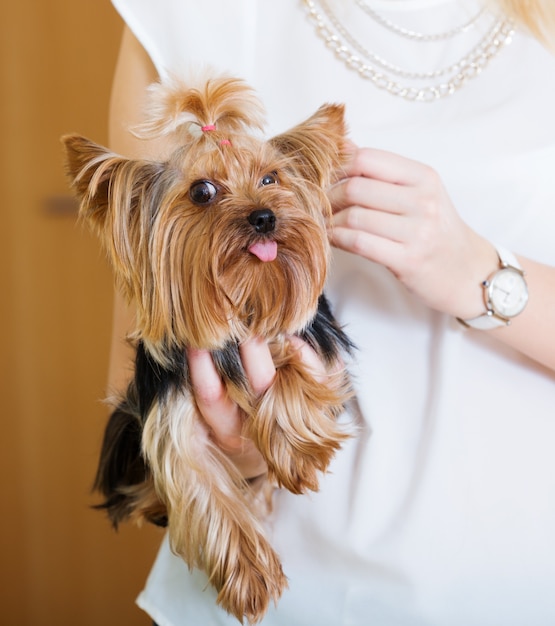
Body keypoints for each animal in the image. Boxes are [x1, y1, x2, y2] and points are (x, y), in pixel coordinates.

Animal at [63, 75, 354, 620]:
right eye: (202, 192)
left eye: (271, 178)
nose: (264, 217)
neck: (241, 309)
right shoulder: (170, 417)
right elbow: (199, 484)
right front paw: (250, 577)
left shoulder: (318, 351)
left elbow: (294, 367)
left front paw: (296, 451)